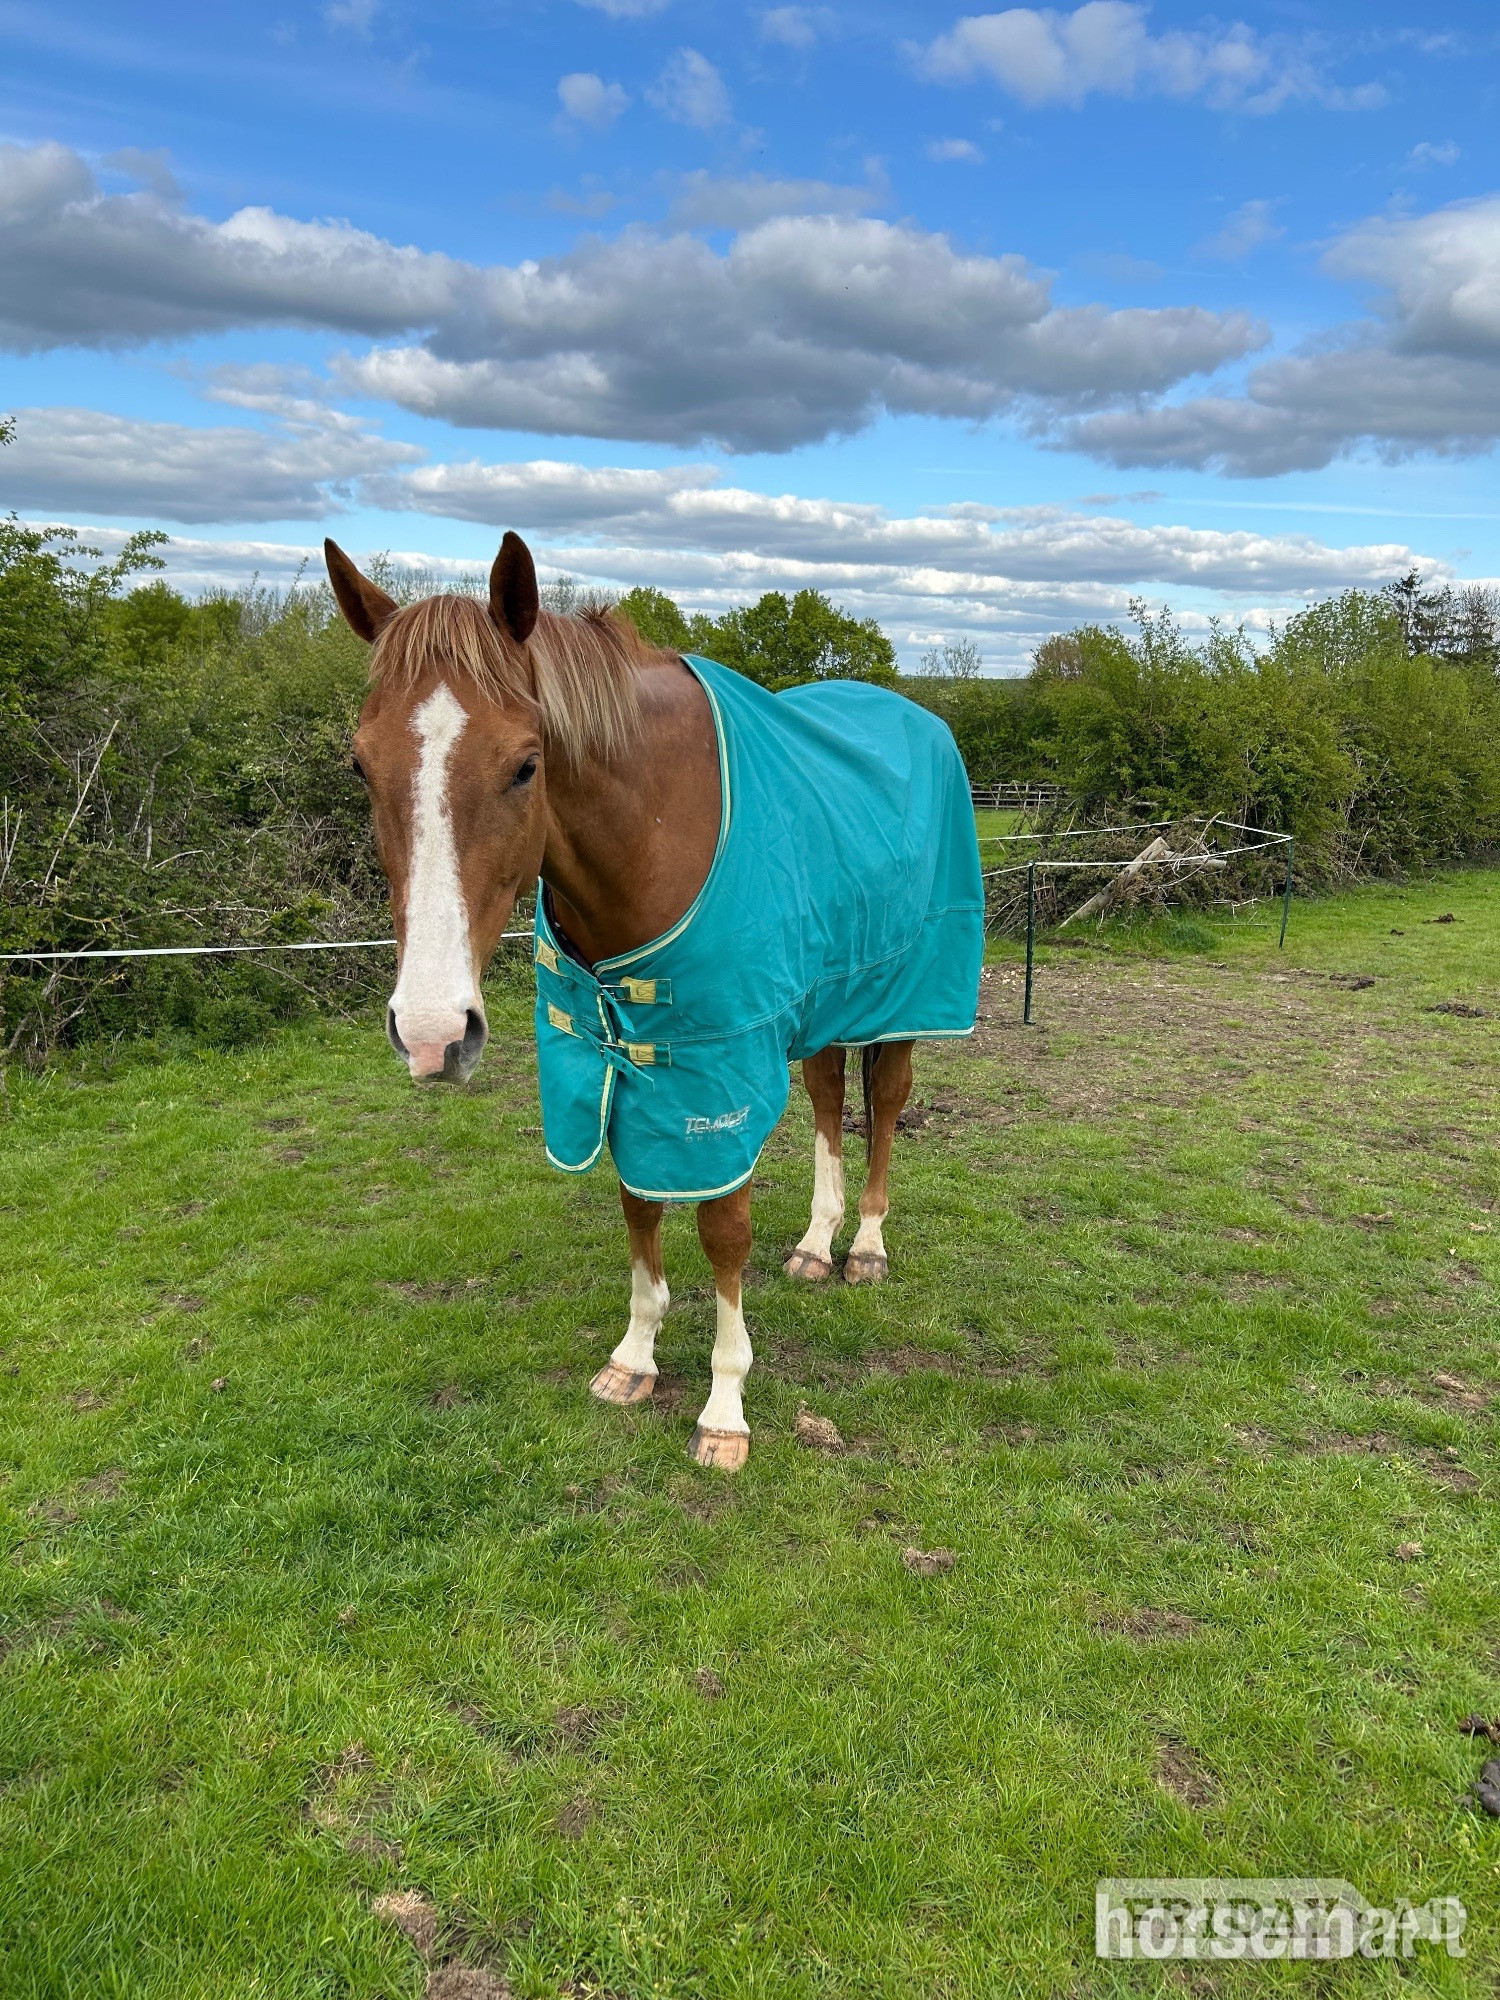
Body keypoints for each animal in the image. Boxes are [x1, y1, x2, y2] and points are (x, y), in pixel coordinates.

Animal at [326, 531, 982, 1472]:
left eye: (526, 764)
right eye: (360, 761)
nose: (430, 1033)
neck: (654, 831)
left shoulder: (718, 1071)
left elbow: (723, 1232)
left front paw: (724, 1408)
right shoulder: (609, 1063)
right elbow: (637, 1203)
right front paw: (634, 1358)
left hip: (904, 998)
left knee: (885, 1105)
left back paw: (864, 1246)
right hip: (829, 999)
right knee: (828, 1098)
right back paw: (815, 1245)